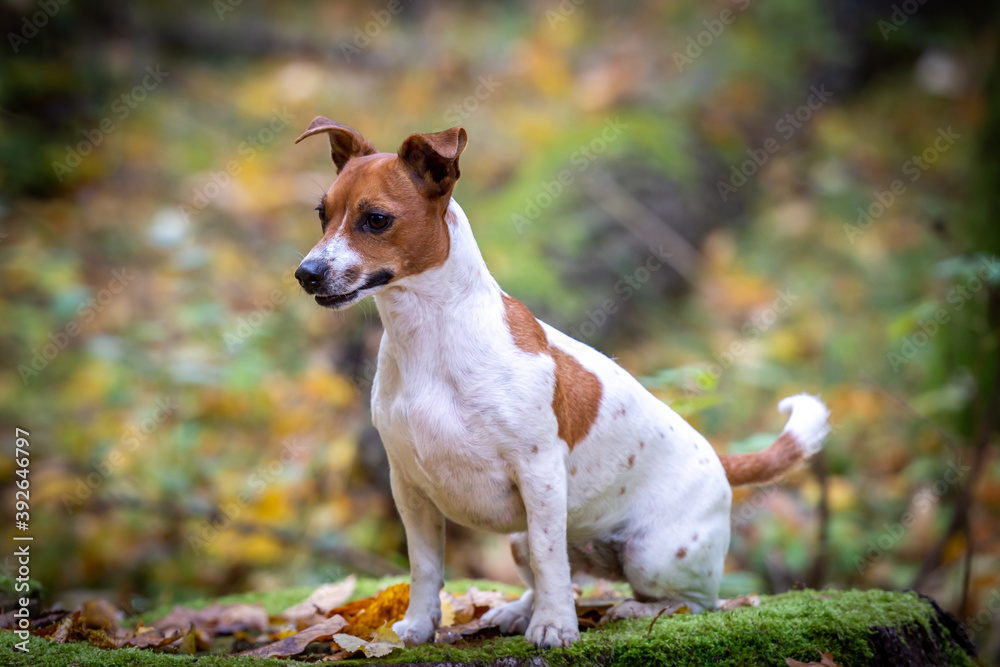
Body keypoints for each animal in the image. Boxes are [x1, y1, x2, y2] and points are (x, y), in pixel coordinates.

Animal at [292, 117, 828, 648]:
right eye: (322, 214)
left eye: (376, 219)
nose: (306, 274)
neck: (430, 339)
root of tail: (719, 458)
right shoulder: (410, 488)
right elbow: (425, 568)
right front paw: (422, 626)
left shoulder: (540, 474)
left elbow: (550, 558)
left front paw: (554, 627)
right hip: (519, 539)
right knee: (559, 576)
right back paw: (516, 612)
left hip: (652, 554)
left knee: (690, 602)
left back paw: (630, 609)